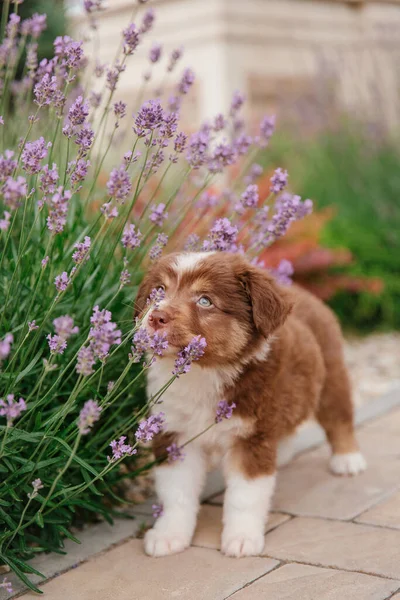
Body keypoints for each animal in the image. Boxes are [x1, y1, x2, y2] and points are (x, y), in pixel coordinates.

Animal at [134, 252, 366, 556]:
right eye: (158, 291)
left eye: (205, 301)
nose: (156, 316)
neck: (203, 373)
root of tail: (300, 291)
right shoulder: (175, 434)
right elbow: (176, 493)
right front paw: (168, 535)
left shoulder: (252, 437)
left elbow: (245, 496)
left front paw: (241, 539)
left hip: (331, 375)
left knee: (339, 418)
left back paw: (348, 459)